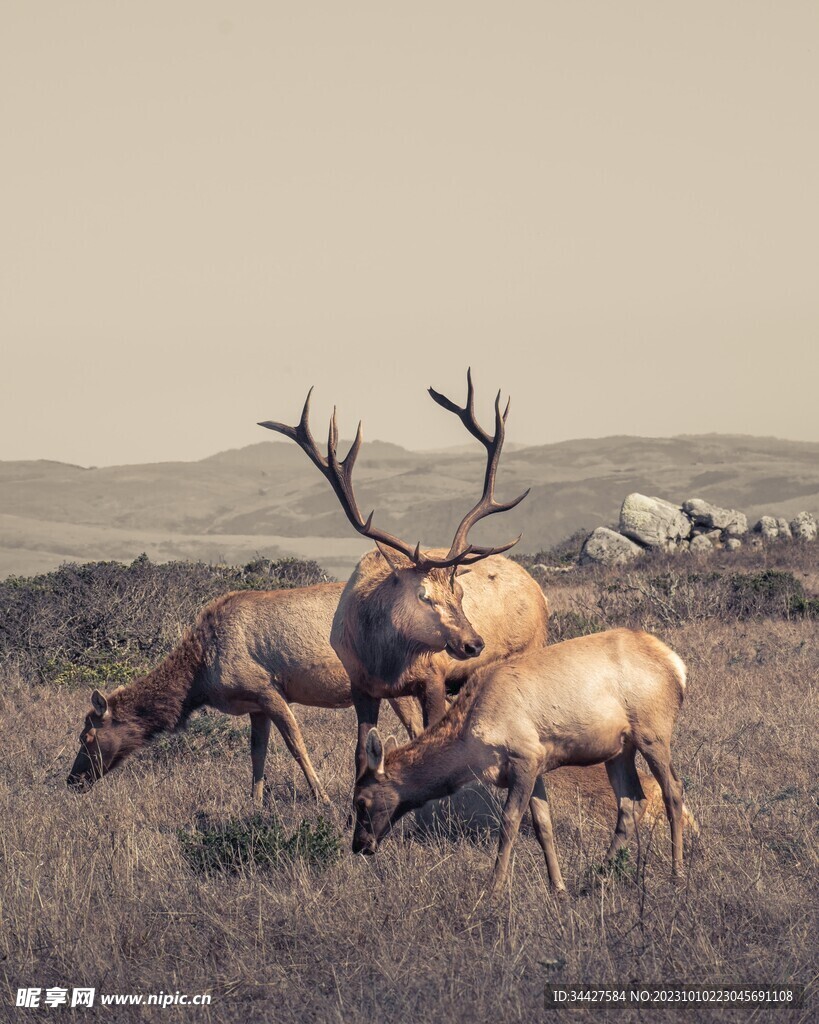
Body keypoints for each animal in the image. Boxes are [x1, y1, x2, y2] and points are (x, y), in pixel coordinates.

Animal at [260, 370, 549, 782]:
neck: (384, 659)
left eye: (460, 593)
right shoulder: (361, 686)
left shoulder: (433, 680)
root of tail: (539, 590)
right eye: (423, 595)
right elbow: (361, 754)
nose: (474, 644)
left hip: (532, 649)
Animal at [352, 628, 693, 893]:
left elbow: (509, 823)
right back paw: (597, 875)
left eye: (361, 800)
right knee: (631, 801)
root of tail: (677, 666)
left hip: (652, 733)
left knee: (673, 791)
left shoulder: (523, 758)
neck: (471, 742)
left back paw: (677, 874)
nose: (359, 845)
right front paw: (558, 887)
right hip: (620, 750)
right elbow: (543, 826)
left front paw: (494, 889)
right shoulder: (536, 764)